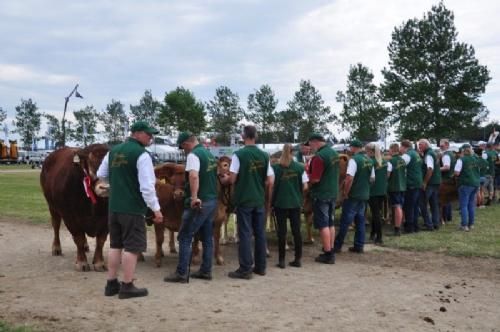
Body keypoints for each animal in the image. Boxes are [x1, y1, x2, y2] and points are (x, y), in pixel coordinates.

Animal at [40, 144, 109, 272]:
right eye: (91, 163)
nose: (105, 187)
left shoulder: (107, 219)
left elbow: (101, 240)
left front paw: (99, 263)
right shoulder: (70, 217)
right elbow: (79, 238)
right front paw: (82, 262)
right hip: (52, 206)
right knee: (56, 225)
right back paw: (56, 248)